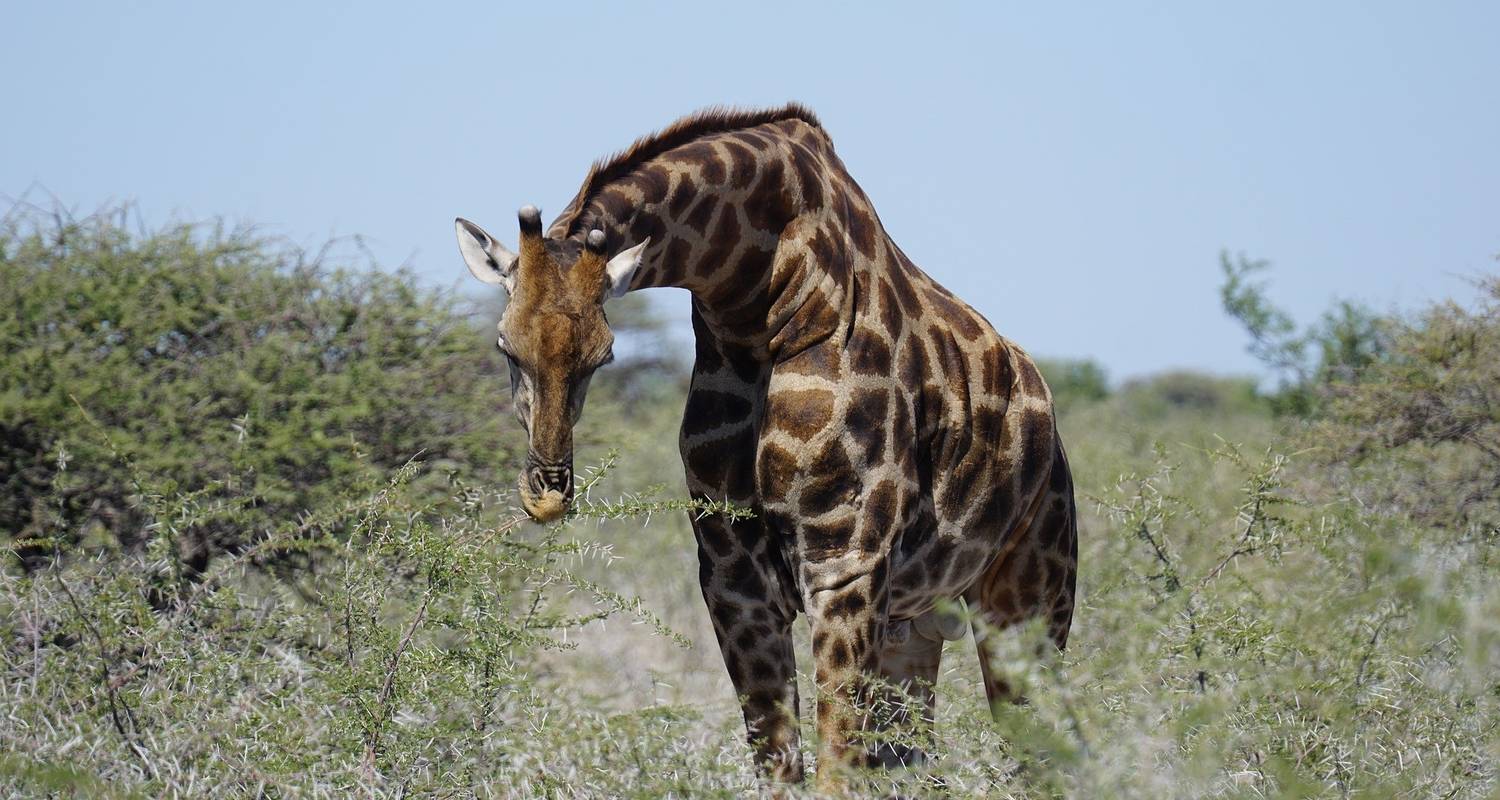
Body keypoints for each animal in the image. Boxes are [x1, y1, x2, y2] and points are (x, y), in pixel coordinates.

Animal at [456, 104, 1080, 786]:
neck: (752, 311)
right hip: (915, 628)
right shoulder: (735, 582)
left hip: (1027, 605)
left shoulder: (845, 567)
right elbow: (781, 767)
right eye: (505, 345)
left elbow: (836, 773)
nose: (548, 494)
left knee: (1047, 755)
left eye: (605, 355)